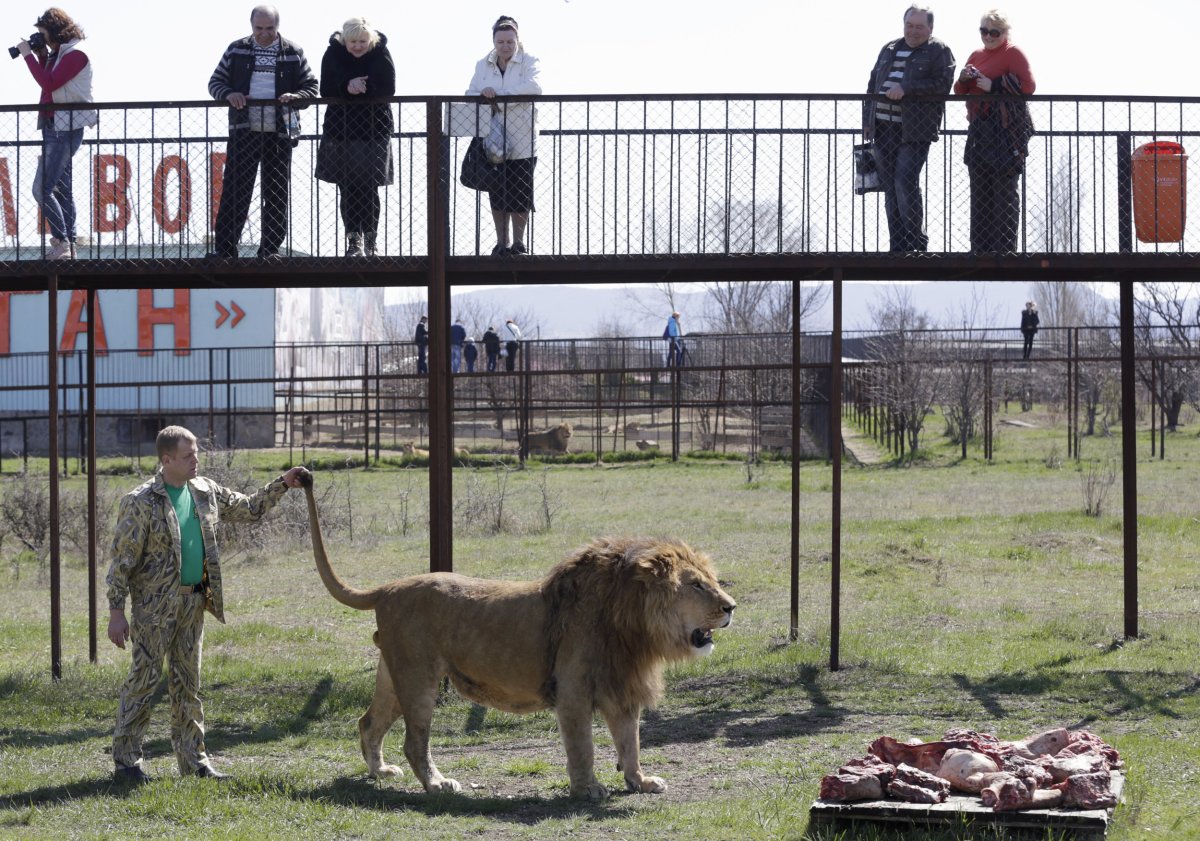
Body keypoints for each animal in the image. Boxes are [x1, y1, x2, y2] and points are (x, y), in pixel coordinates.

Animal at [297, 470, 735, 800]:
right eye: (696, 585)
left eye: (711, 580)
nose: (731, 607)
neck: (632, 625)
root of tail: (388, 588)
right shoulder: (573, 690)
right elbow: (583, 747)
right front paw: (587, 789)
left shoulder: (622, 686)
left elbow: (631, 742)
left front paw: (639, 781)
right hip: (418, 678)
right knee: (413, 741)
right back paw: (438, 784)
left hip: (394, 675)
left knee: (368, 722)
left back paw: (380, 772)